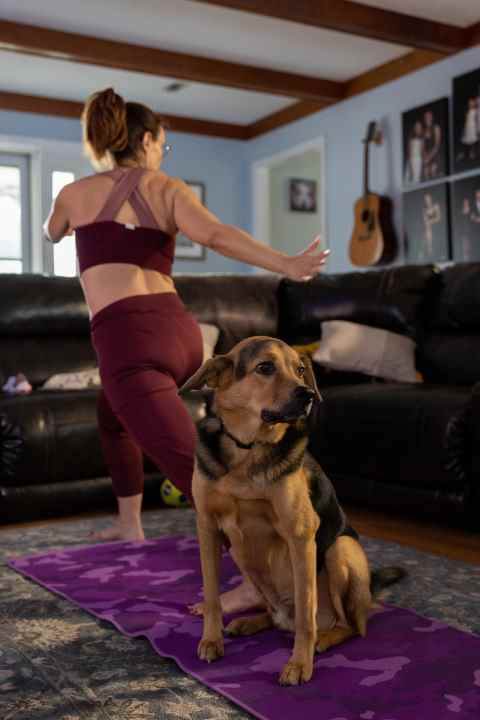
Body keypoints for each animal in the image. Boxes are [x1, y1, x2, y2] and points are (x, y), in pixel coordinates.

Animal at [178, 338, 404, 688]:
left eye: (300, 369)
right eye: (265, 367)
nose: (308, 394)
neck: (248, 447)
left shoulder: (300, 535)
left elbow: (305, 616)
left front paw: (299, 663)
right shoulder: (207, 527)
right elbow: (213, 596)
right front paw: (211, 640)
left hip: (340, 550)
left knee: (350, 625)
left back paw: (325, 638)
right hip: (244, 558)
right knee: (276, 615)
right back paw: (249, 622)